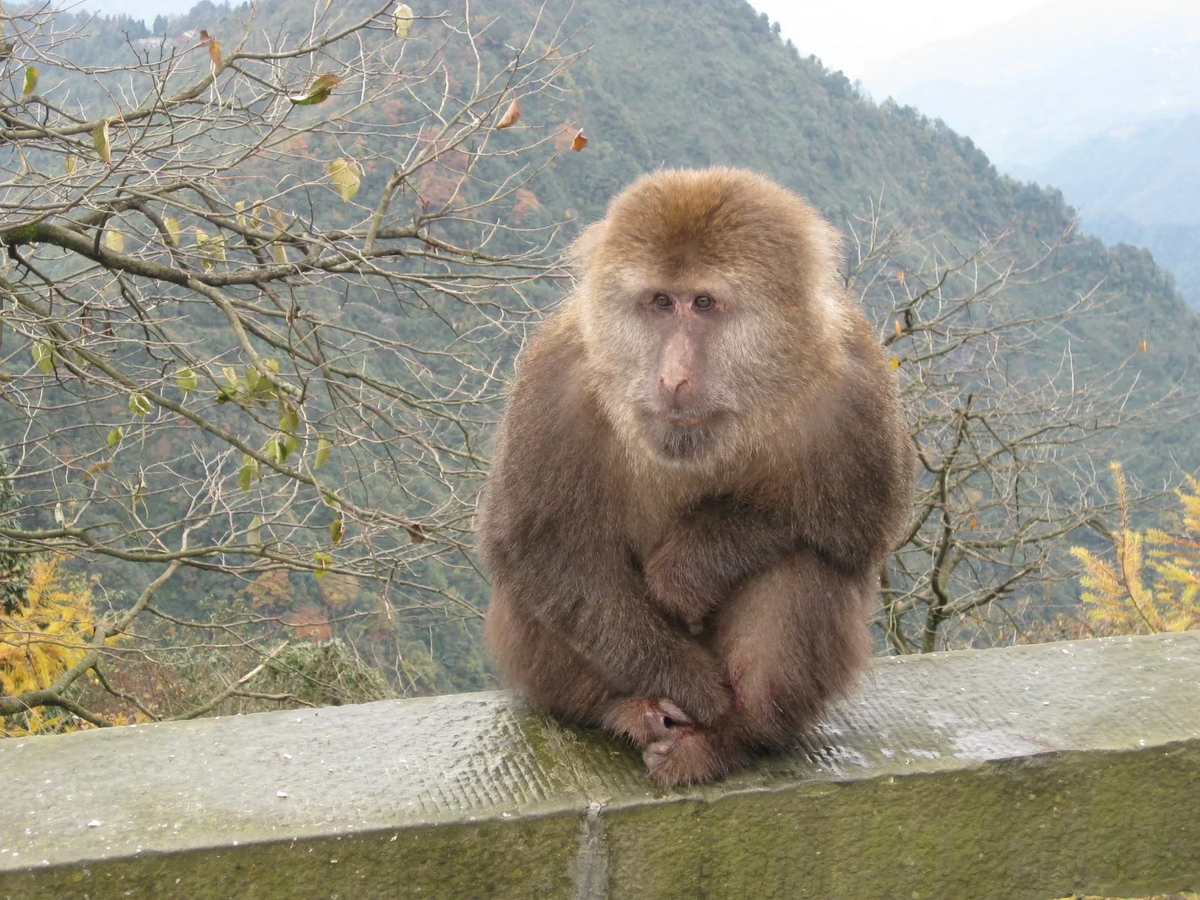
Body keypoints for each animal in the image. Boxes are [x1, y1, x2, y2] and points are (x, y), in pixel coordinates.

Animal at [472, 169, 912, 787]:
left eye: (703, 303)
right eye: (661, 302)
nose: (673, 378)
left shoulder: (856, 384)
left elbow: (857, 525)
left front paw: (689, 568)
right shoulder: (555, 379)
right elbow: (538, 545)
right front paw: (689, 684)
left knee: (804, 566)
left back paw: (729, 738)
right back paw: (630, 710)